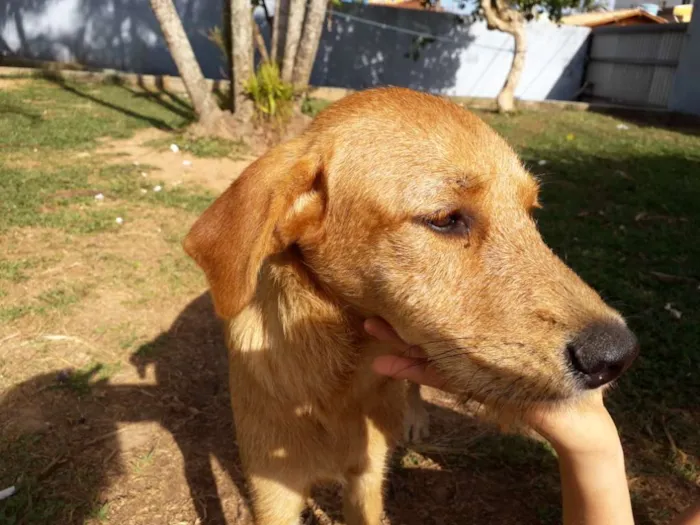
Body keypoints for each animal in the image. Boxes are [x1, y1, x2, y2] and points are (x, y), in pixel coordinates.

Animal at [185, 87, 640, 524]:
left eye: (530, 213)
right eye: (444, 218)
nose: (617, 356)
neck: (337, 381)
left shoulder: (366, 479)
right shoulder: (273, 493)